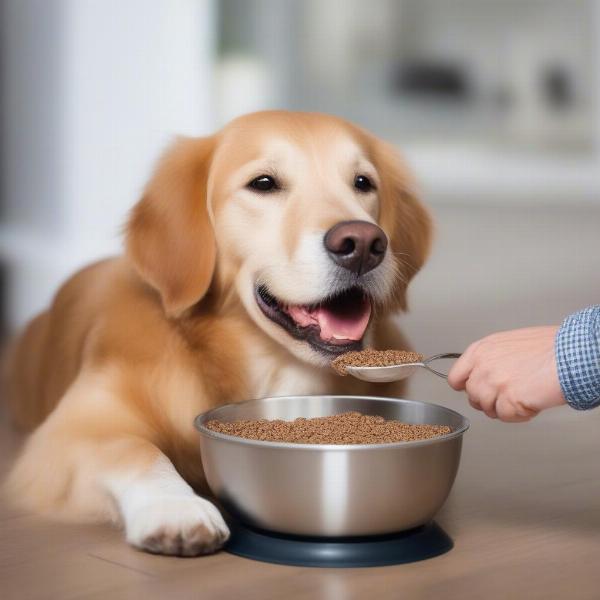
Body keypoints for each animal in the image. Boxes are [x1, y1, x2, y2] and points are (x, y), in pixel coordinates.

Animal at [1, 111, 432, 556]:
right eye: (263, 183)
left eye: (363, 182)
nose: (363, 243)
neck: (272, 367)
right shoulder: (69, 432)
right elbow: (134, 448)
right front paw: (175, 508)